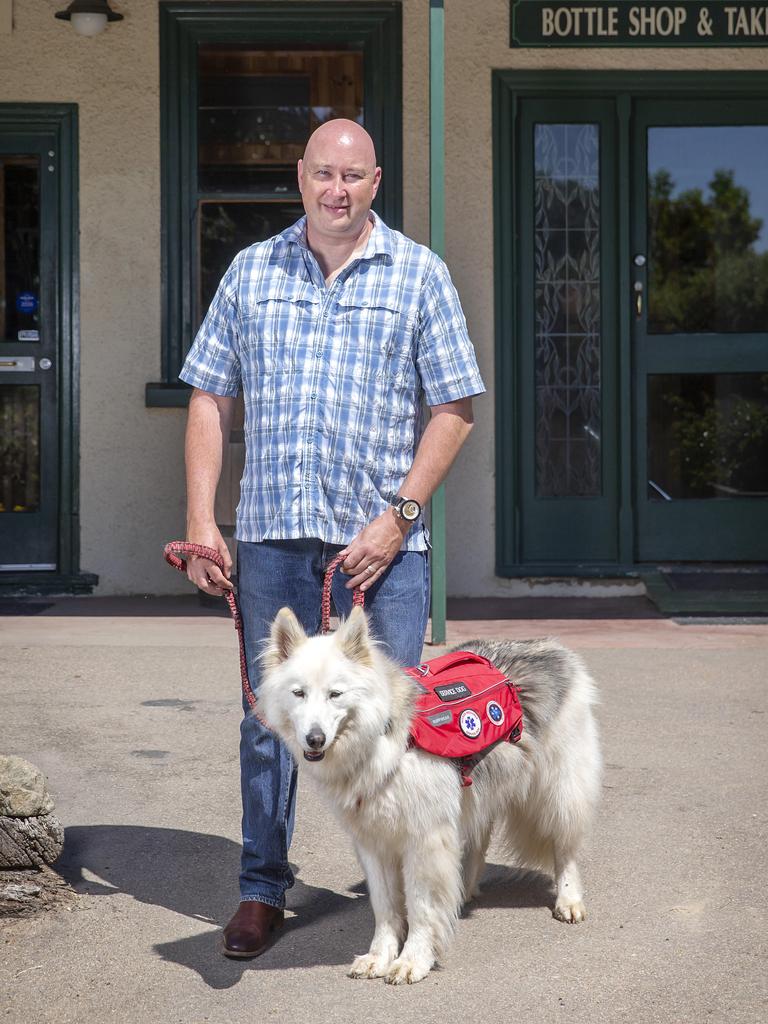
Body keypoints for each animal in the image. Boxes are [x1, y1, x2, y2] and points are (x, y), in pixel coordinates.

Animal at [259, 606, 602, 983]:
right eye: (298, 693)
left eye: (335, 694)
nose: (315, 739)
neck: (384, 737)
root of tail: (547, 644)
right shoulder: (374, 842)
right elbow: (385, 907)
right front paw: (379, 956)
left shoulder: (424, 840)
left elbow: (421, 907)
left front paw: (413, 959)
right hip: (475, 794)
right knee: (478, 842)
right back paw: (463, 891)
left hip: (559, 790)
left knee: (564, 847)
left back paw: (568, 899)